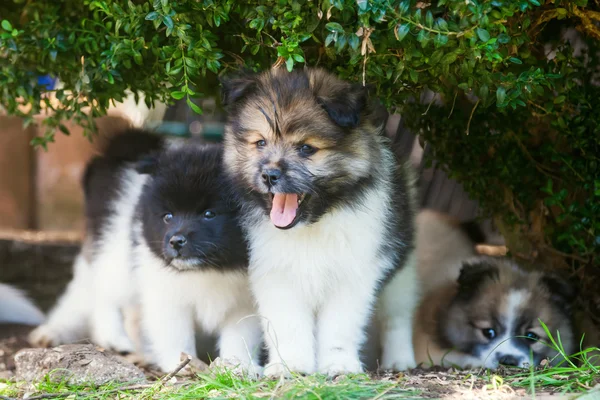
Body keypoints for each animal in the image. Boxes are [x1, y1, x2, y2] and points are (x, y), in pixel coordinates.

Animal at [29, 130, 260, 372]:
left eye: (209, 214)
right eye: (168, 216)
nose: (176, 241)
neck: (209, 269)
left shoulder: (243, 304)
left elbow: (240, 336)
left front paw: (239, 366)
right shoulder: (165, 293)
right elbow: (174, 334)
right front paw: (182, 364)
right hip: (114, 251)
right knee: (100, 293)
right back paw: (104, 336)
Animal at [219, 67, 418, 376]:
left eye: (306, 149)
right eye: (260, 143)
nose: (269, 175)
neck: (312, 224)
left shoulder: (353, 273)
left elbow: (339, 325)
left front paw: (339, 364)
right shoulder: (275, 272)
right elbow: (288, 324)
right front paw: (290, 366)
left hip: (401, 269)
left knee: (397, 317)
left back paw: (400, 360)